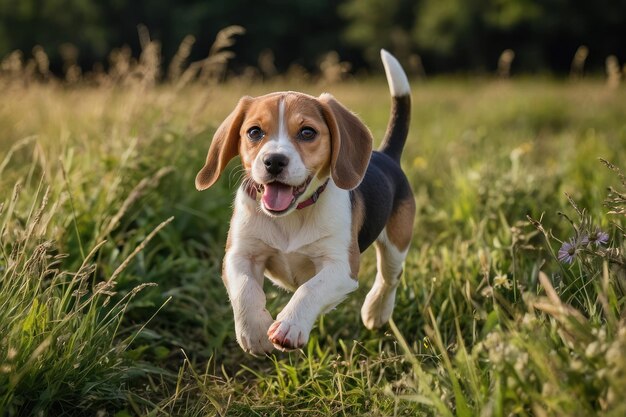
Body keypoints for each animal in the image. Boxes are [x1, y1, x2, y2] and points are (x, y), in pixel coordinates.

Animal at [193, 49, 412, 354]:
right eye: (254, 132)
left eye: (307, 132)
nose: (274, 161)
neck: (291, 215)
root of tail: (386, 155)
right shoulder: (239, 255)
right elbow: (246, 289)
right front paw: (254, 331)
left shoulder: (341, 267)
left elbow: (311, 289)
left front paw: (290, 324)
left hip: (396, 242)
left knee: (390, 276)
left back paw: (376, 311)